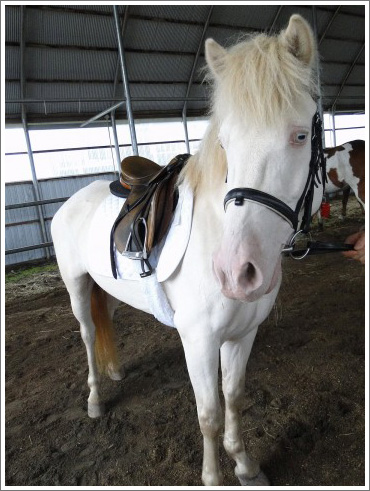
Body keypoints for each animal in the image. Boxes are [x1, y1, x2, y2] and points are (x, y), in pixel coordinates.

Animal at [51, 15, 324, 488]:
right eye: (224, 144)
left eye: (301, 135)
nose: (237, 274)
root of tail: (72, 201)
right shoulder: (197, 340)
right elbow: (209, 414)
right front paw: (214, 476)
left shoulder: (243, 335)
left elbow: (234, 398)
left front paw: (246, 467)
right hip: (76, 285)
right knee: (86, 334)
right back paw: (95, 399)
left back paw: (116, 370)